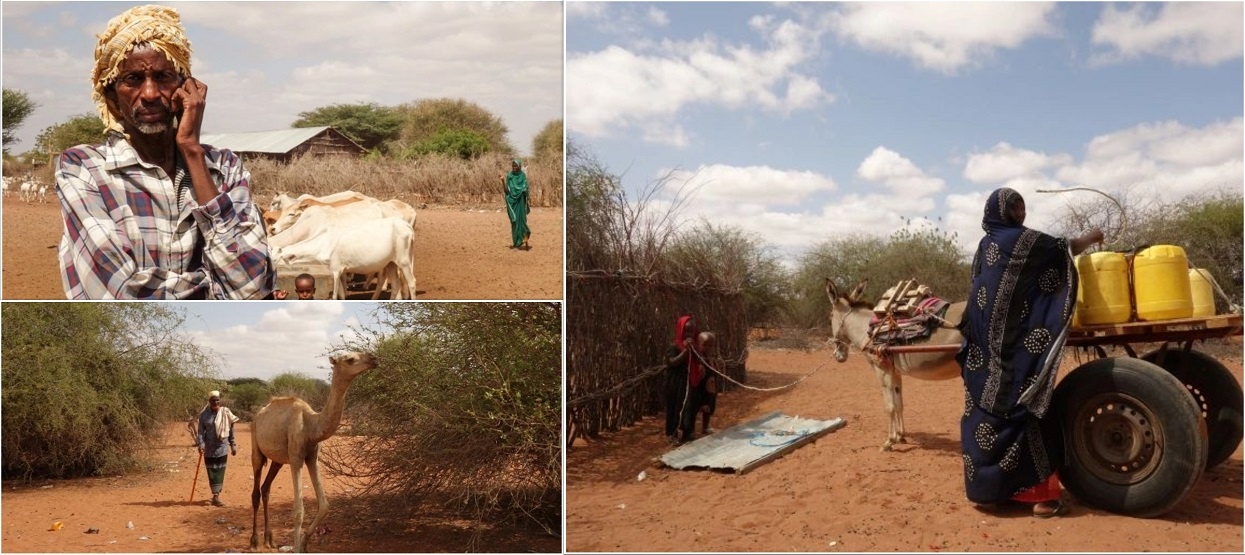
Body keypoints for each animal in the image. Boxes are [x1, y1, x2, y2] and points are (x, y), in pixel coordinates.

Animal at [247, 350, 373, 550]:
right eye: (350, 359)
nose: (373, 358)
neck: (311, 426)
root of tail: (257, 415)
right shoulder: (297, 458)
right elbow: (298, 511)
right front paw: (297, 547)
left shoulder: (312, 457)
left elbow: (324, 505)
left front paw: (304, 544)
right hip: (256, 449)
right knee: (255, 492)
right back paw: (254, 541)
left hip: (278, 460)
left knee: (266, 488)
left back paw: (269, 539)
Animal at [271, 217, 415, 301]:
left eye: (276, 259)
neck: (324, 242)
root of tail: (407, 226)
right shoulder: (338, 272)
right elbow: (341, 295)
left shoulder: (335, 270)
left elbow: (335, 296)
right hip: (391, 263)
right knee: (395, 285)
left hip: (404, 260)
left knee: (412, 282)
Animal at [826, 277, 961, 450]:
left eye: (830, 316)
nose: (838, 356)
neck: (869, 331)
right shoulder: (895, 372)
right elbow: (899, 404)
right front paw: (900, 436)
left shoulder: (882, 371)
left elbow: (889, 406)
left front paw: (889, 441)